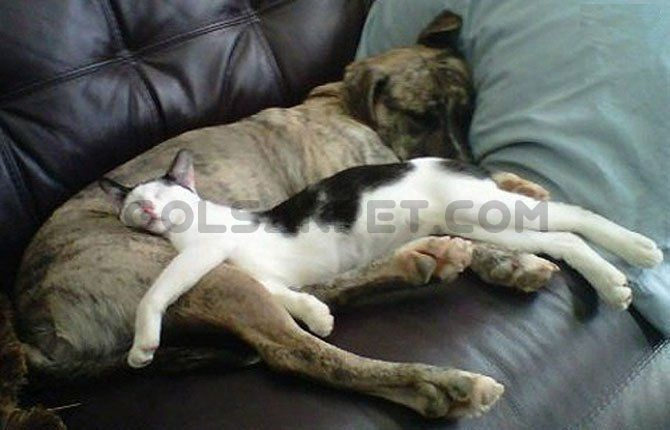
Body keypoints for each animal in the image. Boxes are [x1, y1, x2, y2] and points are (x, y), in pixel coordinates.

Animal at [100, 149, 664, 368]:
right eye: (134, 202)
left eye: (164, 195)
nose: (147, 209)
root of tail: (460, 159)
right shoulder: (257, 273)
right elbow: (279, 293)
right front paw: (316, 315)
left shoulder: (205, 251)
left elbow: (157, 290)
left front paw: (143, 343)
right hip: (482, 224)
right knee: (564, 239)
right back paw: (612, 283)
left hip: (488, 207)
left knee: (573, 214)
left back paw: (639, 248)